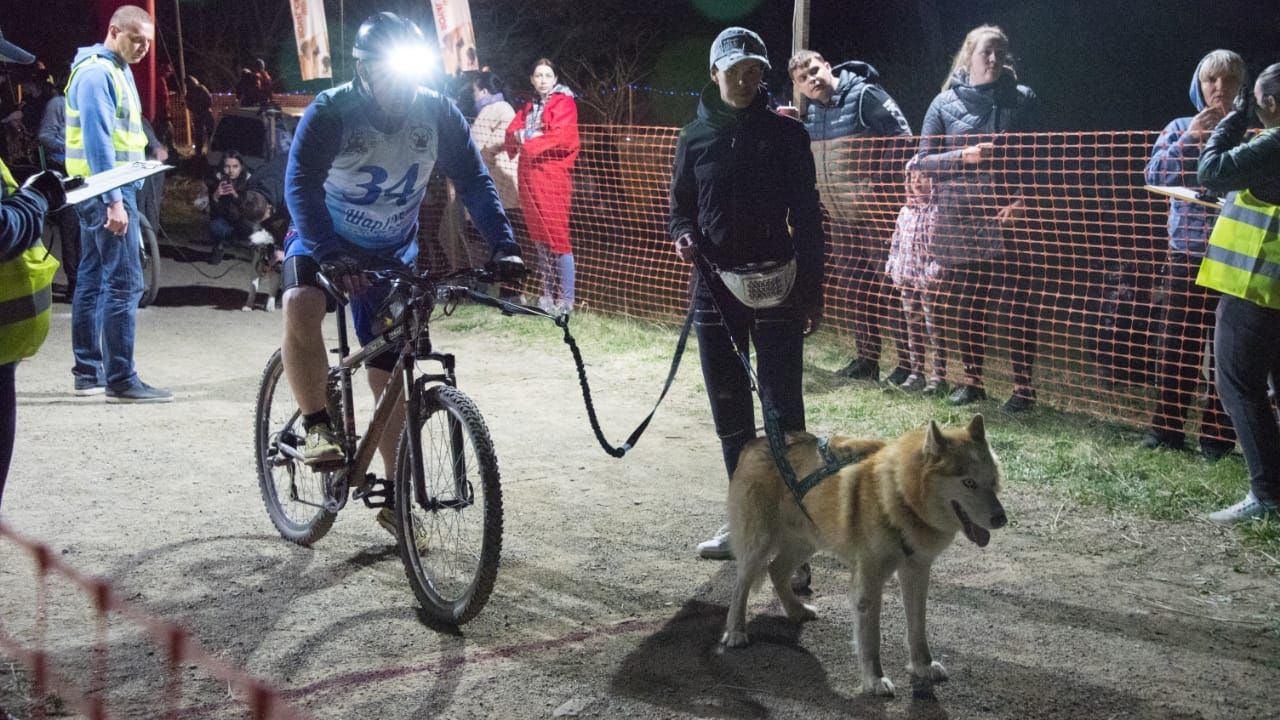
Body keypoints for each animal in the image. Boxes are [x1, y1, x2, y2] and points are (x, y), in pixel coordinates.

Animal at [722, 414, 1006, 697]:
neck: (898, 496)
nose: (1001, 519)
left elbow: (917, 626)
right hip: (759, 546)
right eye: (969, 482)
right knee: (740, 586)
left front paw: (922, 666)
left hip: (808, 541)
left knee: (776, 570)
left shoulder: (916, 572)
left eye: (992, 482)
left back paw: (796, 610)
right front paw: (874, 680)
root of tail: (756, 442)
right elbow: (871, 639)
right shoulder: (869, 583)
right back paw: (735, 632)